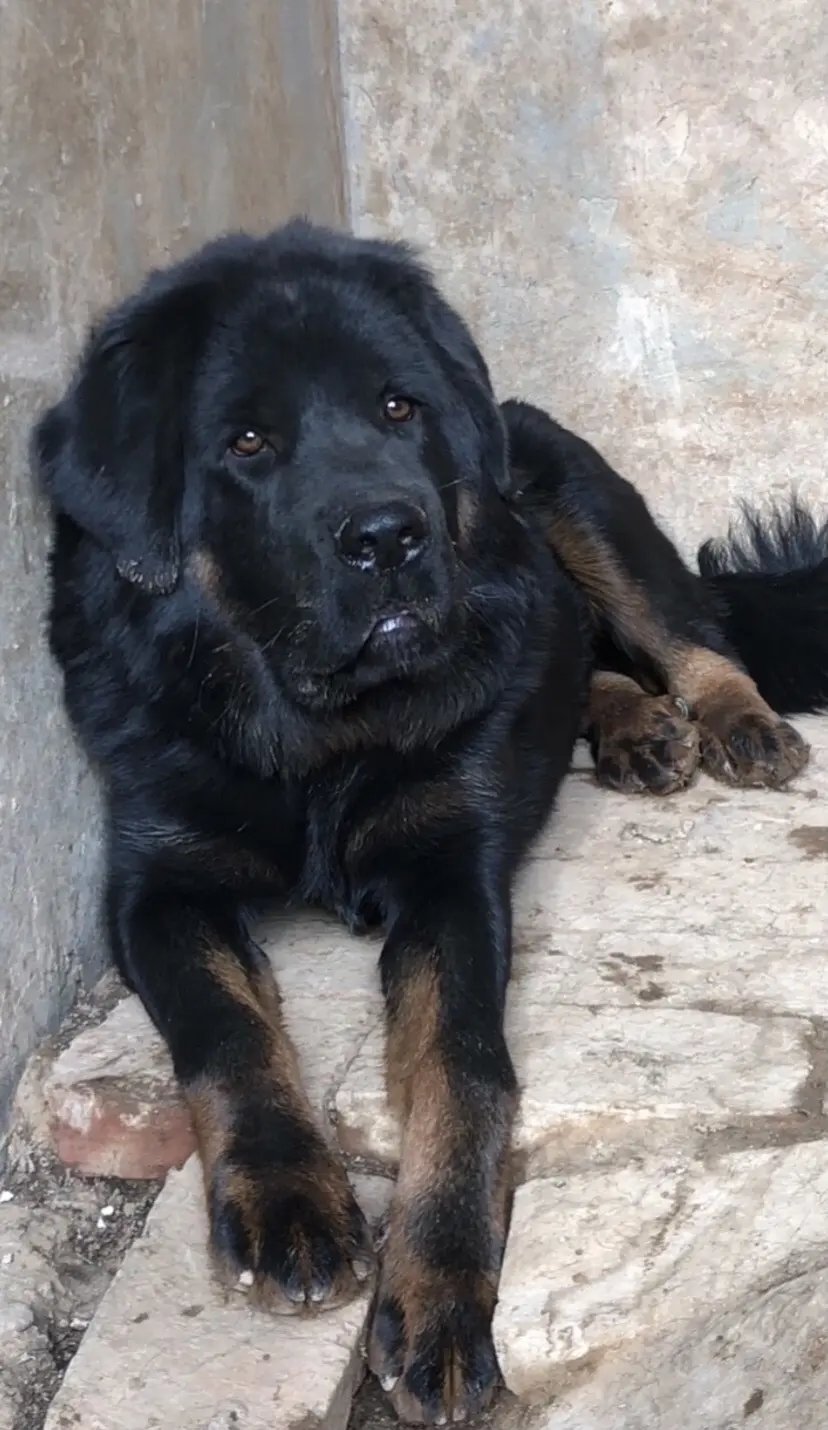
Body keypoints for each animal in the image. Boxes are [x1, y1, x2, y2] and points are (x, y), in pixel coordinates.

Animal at [32, 220, 828, 1424]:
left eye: (398, 408)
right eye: (247, 441)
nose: (390, 535)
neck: (318, 734)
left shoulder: (453, 879)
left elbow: (463, 1063)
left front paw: (444, 1285)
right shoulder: (156, 884)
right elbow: (226, 1028)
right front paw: (289, 1195)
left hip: (567, 494)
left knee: (683, 626)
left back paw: (729, 720)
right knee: (584, 653)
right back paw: (633, 725)